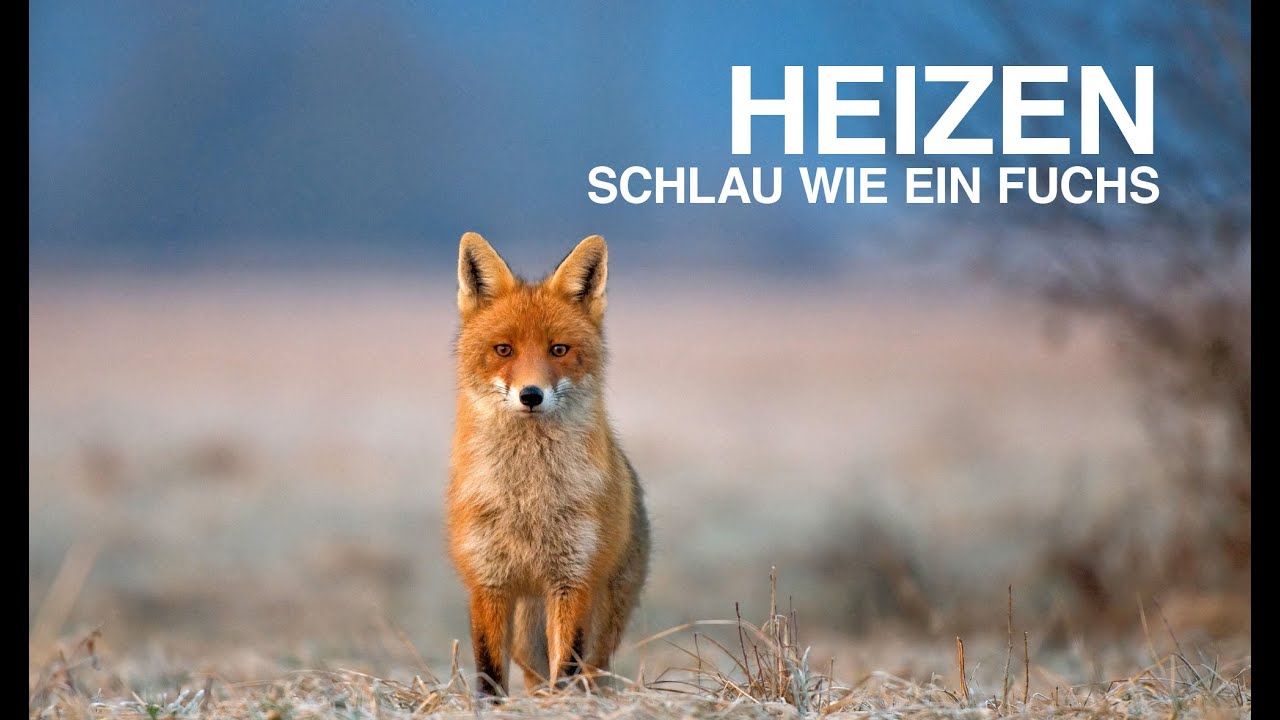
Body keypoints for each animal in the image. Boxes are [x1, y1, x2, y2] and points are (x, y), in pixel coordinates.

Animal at [446, 232, 651, 697]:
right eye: (503, 349)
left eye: (558, 349)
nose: (531, 395)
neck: (528, 499)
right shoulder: (487, 581)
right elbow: (488, 671)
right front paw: (491, 706)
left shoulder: (572, 580)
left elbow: (567, 667)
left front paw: (563, 705)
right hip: (526, 637)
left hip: (602, 621)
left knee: (591, 672)